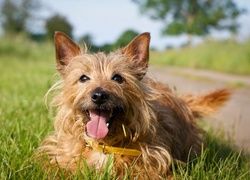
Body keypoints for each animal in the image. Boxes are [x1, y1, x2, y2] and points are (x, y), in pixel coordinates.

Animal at [38, 31, 231, 179]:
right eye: (84, 78)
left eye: (117, 78)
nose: (99, 96)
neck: (105, 144)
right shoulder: (60, 157)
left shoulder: (154, 167)